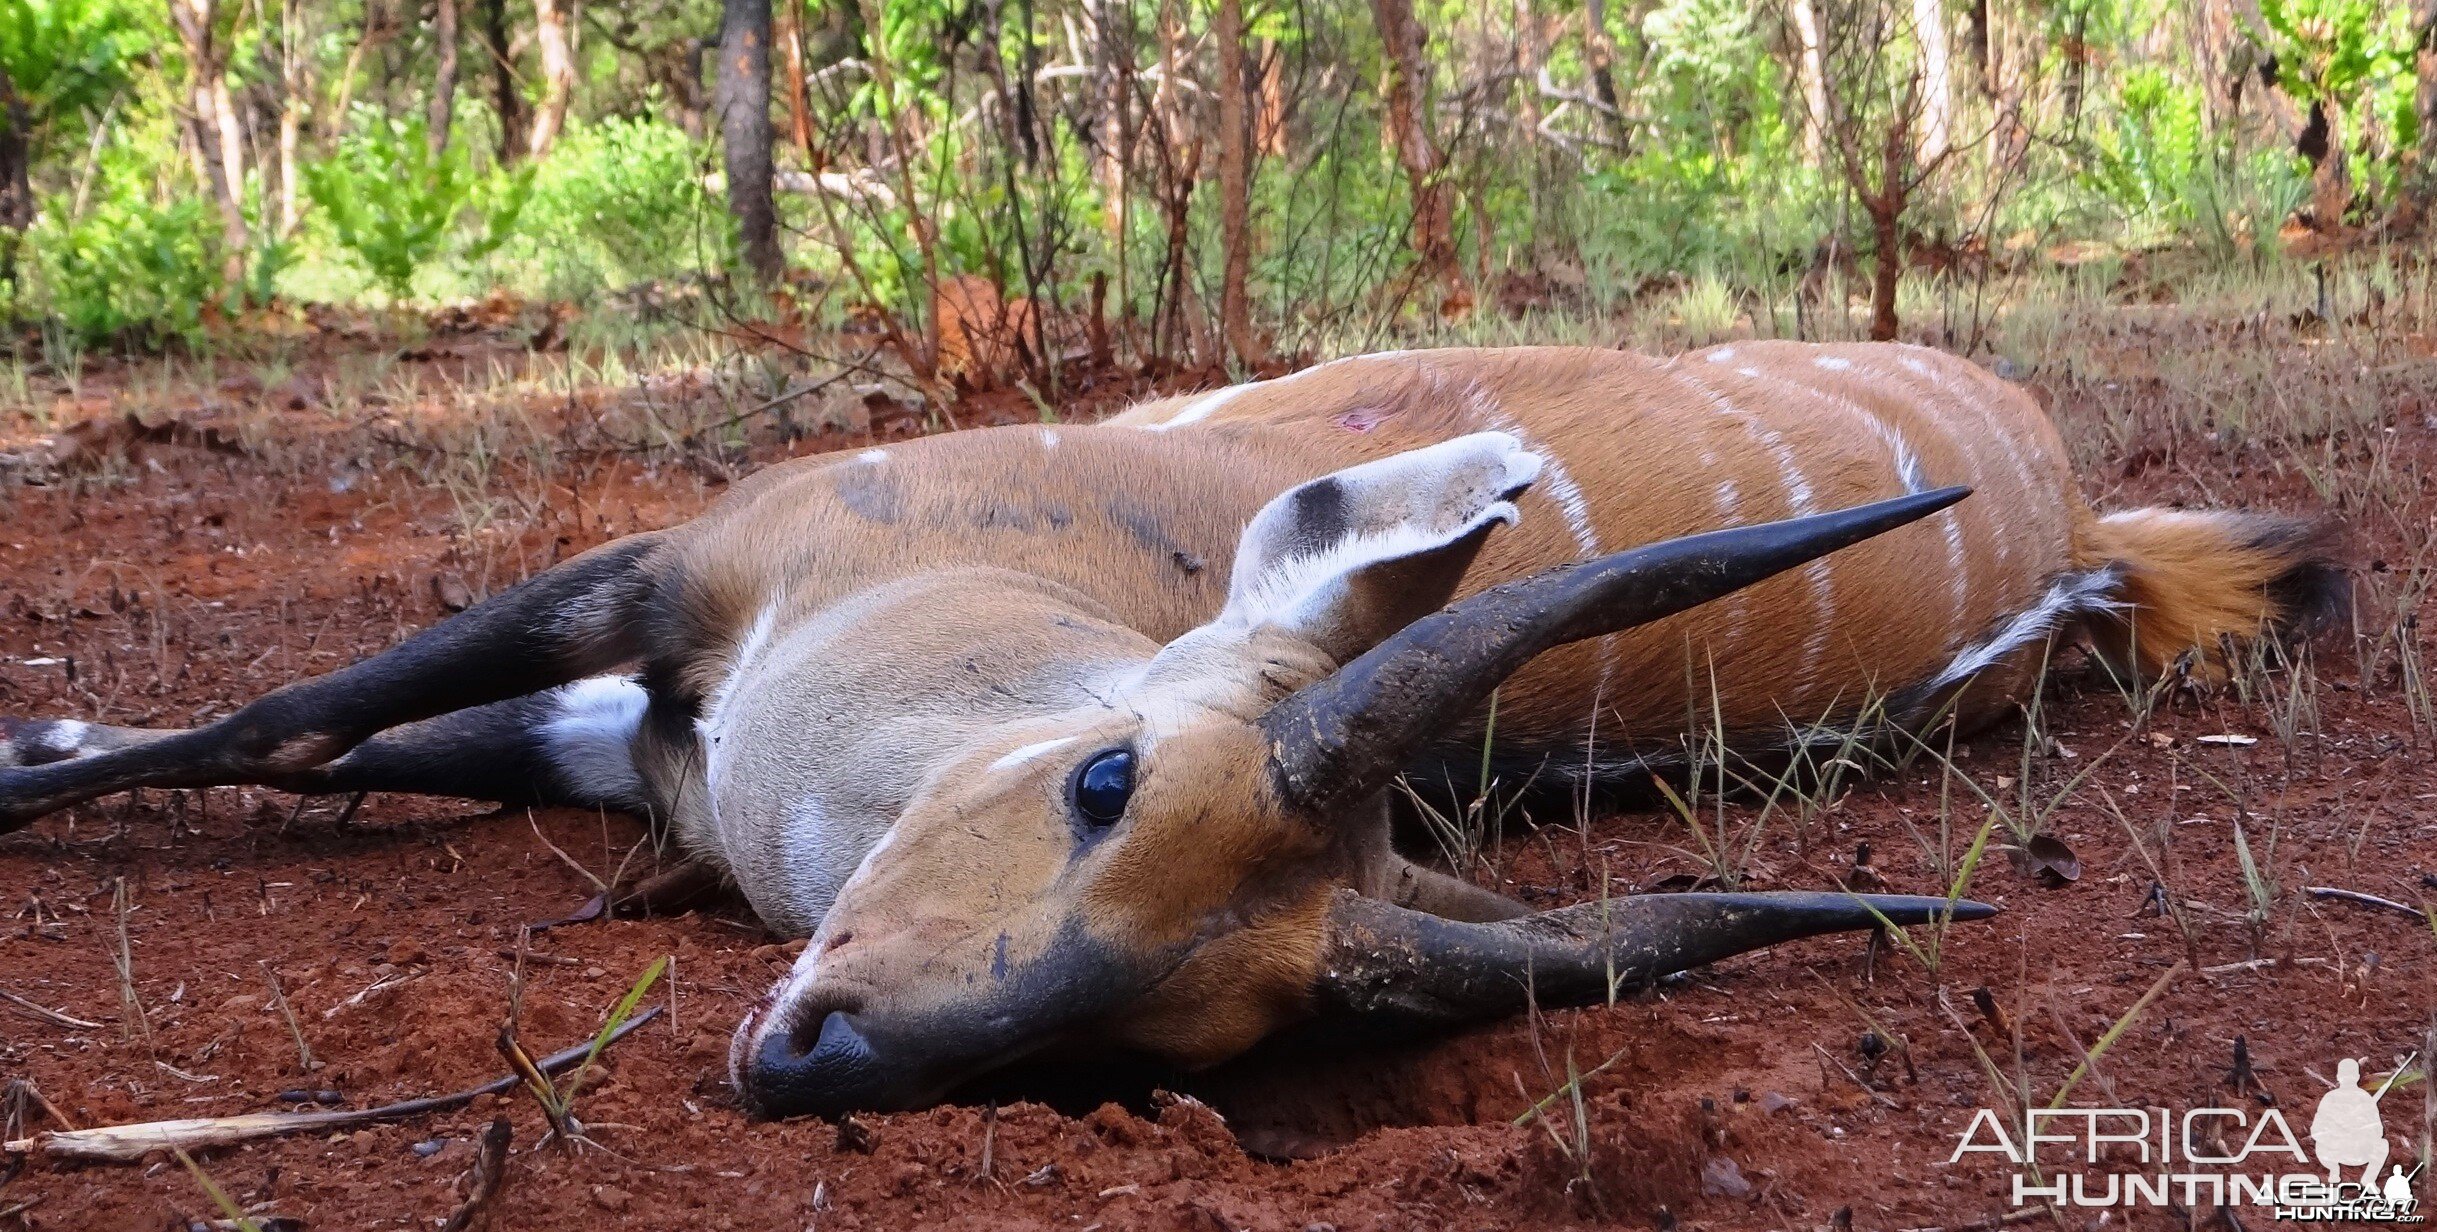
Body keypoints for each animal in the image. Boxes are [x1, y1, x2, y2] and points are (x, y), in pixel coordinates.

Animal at [0, 343, 2339, 1115]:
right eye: (1105, 775)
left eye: (1204, 1032)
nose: (814, 1059)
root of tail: (2079, 525)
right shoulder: (655, 591)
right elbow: (306, 714)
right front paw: (35, 760)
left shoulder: (639, 694)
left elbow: (335, 735)